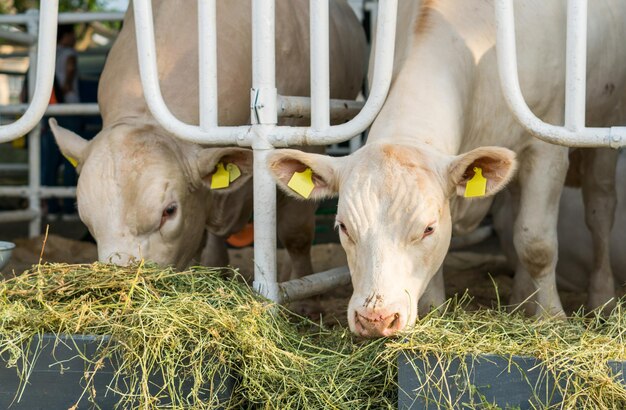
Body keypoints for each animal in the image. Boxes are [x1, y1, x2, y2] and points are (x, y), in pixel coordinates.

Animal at [266, 0, 624, 336]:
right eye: (343, 227)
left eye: (428, 228)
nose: (375, 319)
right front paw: (434, 310)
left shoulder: (546, 147)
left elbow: (537, 242)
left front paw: (552, 318)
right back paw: (520, 300)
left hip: (603, 132)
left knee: (598, 211)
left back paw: (602, 299)